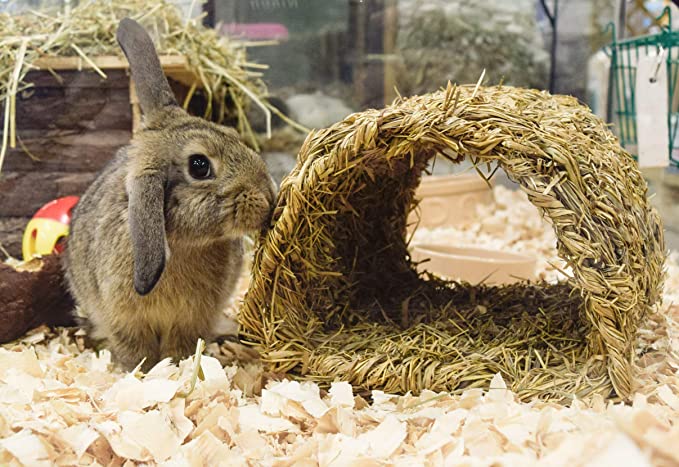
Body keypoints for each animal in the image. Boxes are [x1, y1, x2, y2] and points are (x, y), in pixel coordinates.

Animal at [63, 16, 276, 372]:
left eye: (232, 132)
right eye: (200, 166)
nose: (268, 198)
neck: (181, 242)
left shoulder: (191, 318)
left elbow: (181, 344)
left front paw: (177, 365)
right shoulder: (124, 320)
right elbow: (135, 347)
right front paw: (142, 370)